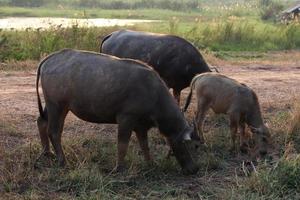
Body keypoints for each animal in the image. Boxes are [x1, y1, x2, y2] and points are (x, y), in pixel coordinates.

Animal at [37, 48, 202, 173]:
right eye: (192, 145)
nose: (195, 169)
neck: (154, 94)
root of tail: (50, 58)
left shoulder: (141, 126)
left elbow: (145, 146)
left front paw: (151, 164)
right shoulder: (126, 119)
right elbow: (122, 145)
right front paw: (119, 168)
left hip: (54, 105)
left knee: (42, 122)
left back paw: (47, 152)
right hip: (57, 105)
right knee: (54, 131)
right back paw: (62, 160)